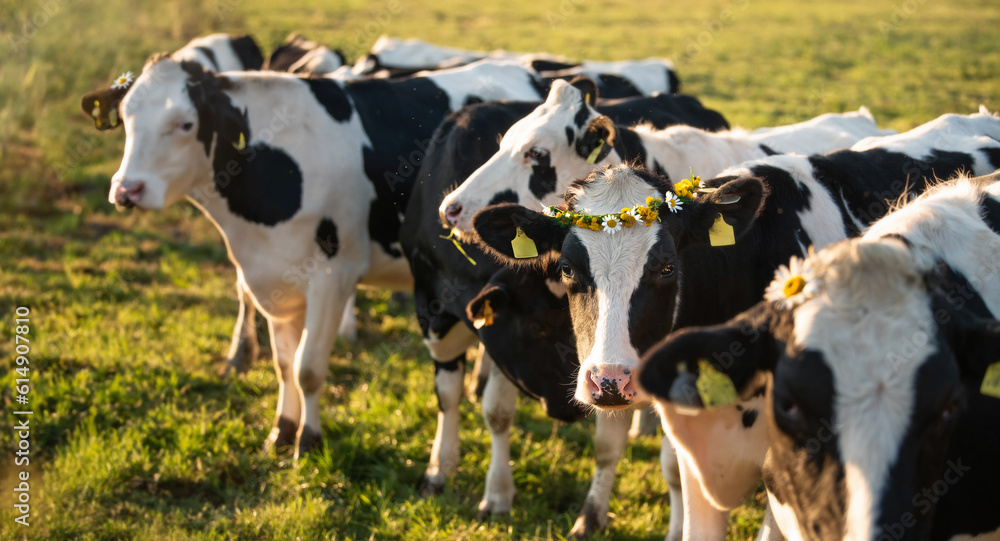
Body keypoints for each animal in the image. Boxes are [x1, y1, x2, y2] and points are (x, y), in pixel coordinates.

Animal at [91, 50, 584, 458]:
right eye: (126, 118)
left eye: (186, 124)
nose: (125, 190)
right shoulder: (270, 279)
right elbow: (284, 364)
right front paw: (281, 430)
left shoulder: (332, 275)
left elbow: (308, 367)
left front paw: (308, 440)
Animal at [396, 84, 728, 532]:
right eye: (537, 327)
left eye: (537, 153)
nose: (452, 208)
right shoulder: (436, 310)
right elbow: (469, 402)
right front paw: (445, 473)